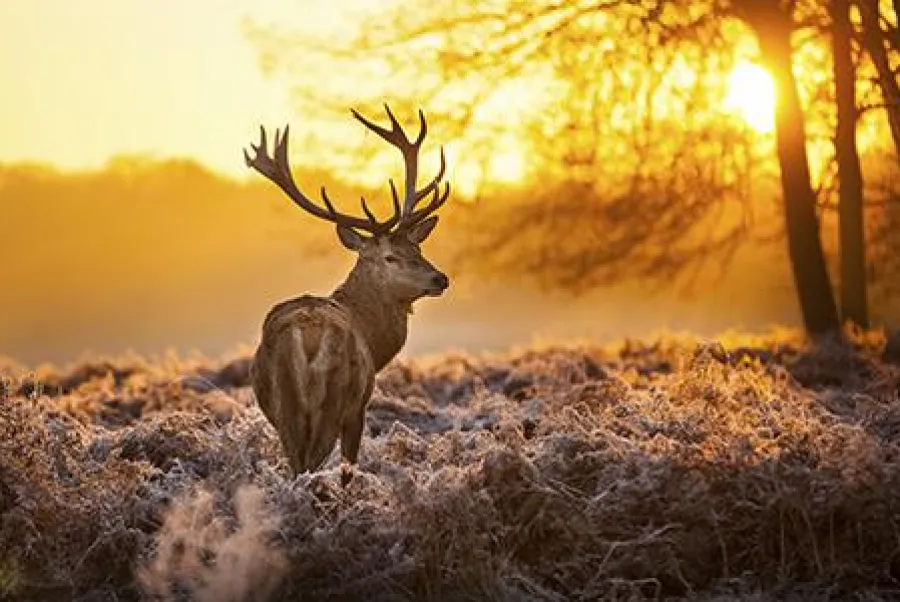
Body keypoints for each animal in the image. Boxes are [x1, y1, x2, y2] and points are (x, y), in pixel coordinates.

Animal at [244, 105, 451, 485]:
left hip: (285, 410)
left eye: (418, 247)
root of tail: (307, 337)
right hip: (334, 400)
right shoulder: (359, 407)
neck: (374, 340)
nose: (440, 278)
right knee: (312, 466)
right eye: (390, 257)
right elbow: (349, 466)